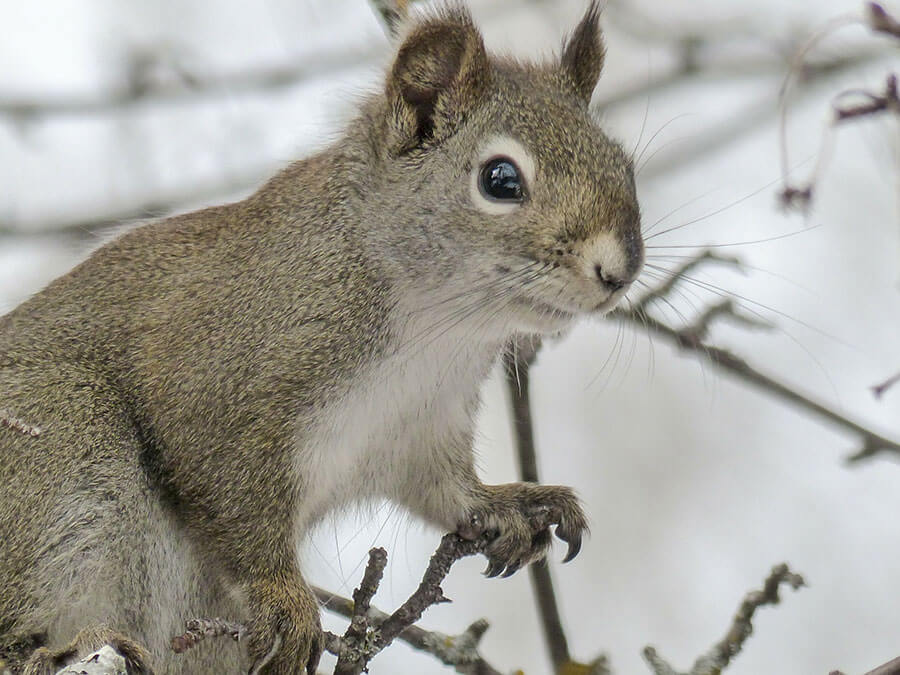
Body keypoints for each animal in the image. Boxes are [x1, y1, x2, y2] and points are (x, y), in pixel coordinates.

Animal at [0, 2, 648, 672]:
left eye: (624, 166)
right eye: (500, 180)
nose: (619, 272)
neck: (437, 330)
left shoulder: (420, 428)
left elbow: (445, 491)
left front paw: (511, 504)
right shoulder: (217, 384)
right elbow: (236, 504)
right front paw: (284, 599)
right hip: (64, 441)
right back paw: (62, 645)